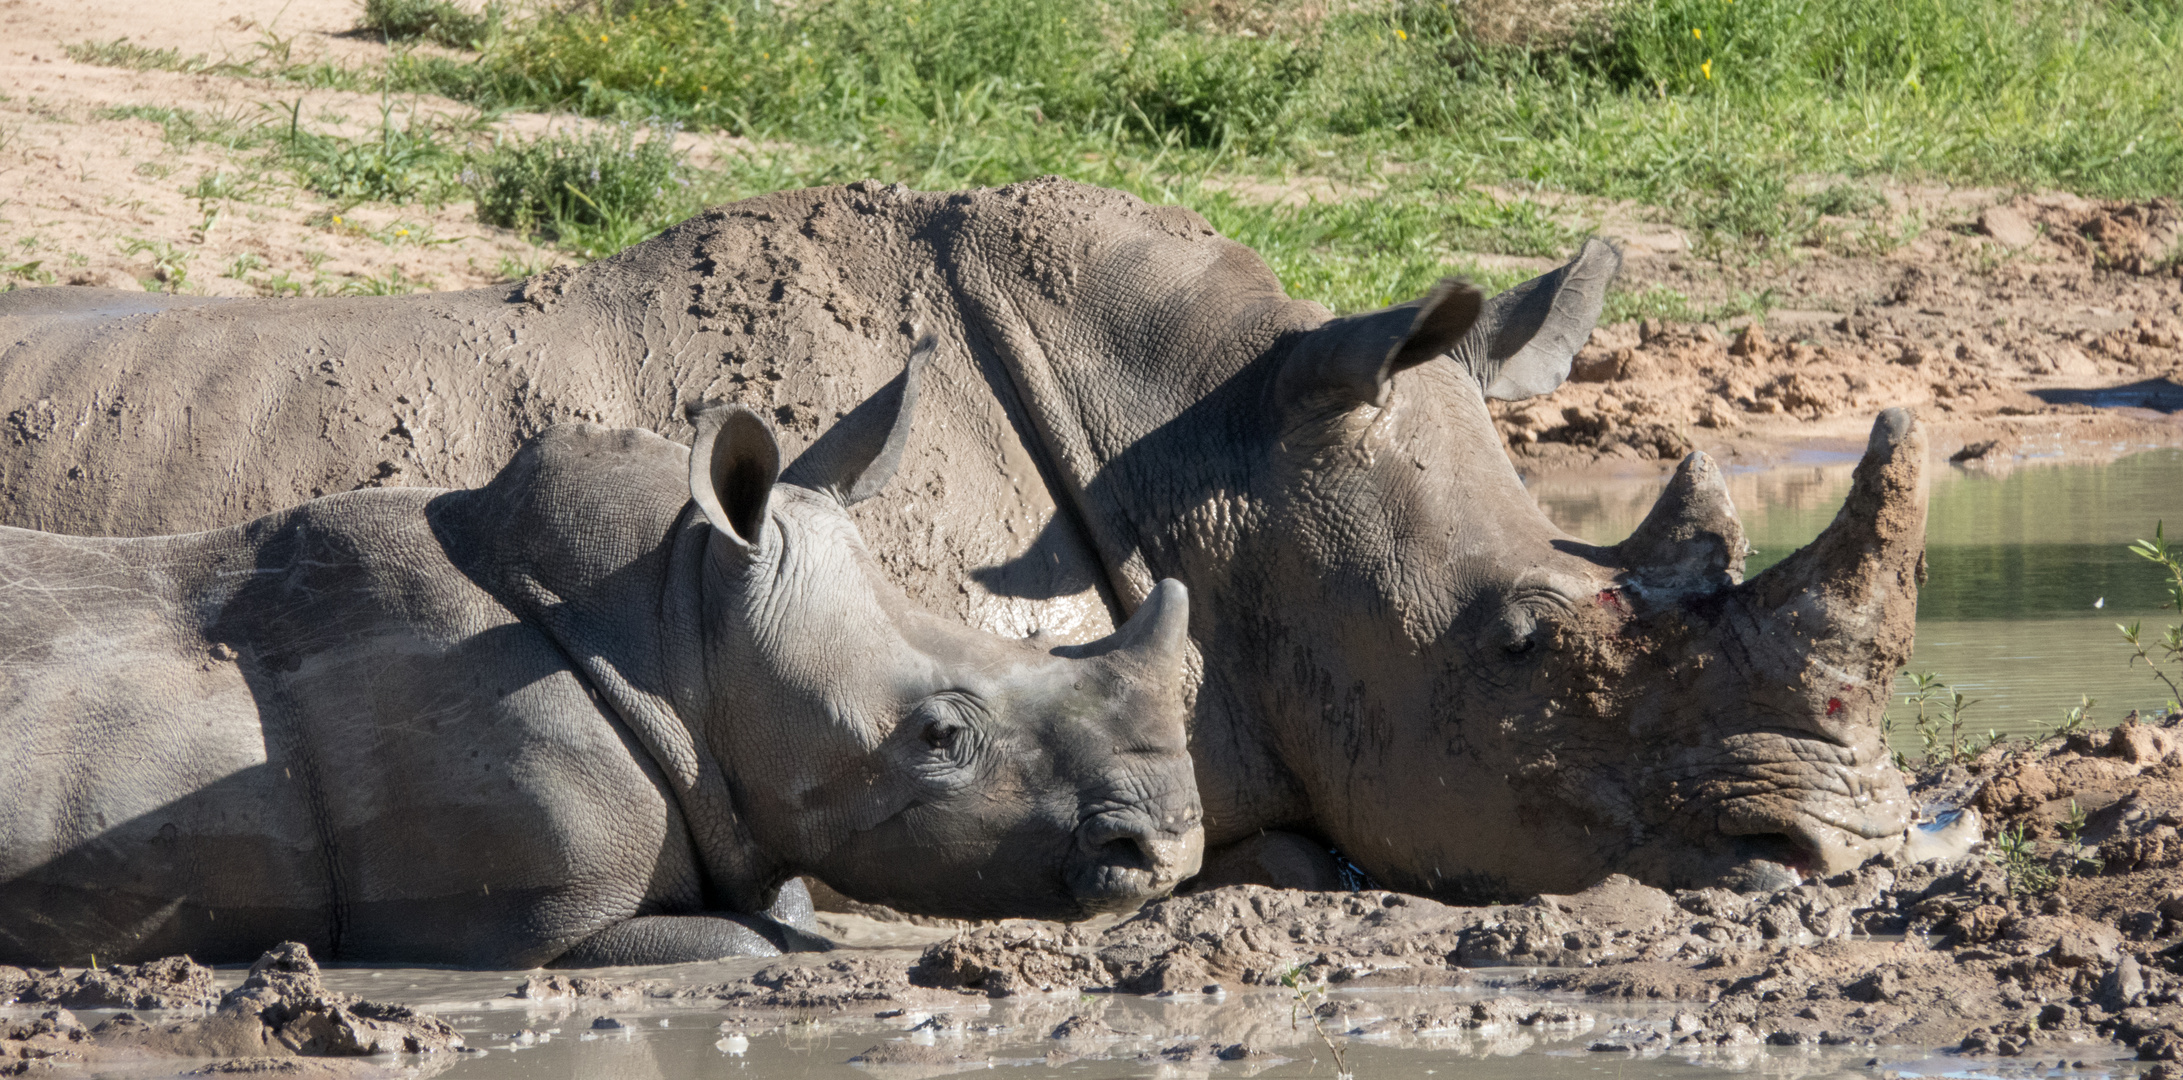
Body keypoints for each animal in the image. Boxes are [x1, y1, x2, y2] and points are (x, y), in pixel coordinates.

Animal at [0, 349, 1205, 973]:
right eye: (942, 737)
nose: (1168, 847)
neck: (672, 625)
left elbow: (786, 914)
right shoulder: (537, 920)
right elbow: (756, 945)